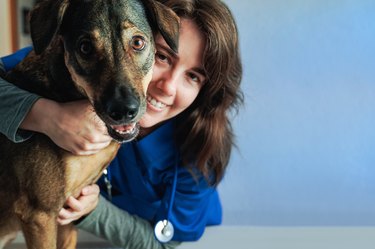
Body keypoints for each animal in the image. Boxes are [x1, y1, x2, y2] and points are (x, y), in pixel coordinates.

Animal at [0, 0, 179, 249]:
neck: (63, 88)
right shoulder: (39, 215)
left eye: (137, 42)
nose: (123, 111)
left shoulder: (67, 214)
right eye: (85, 47)